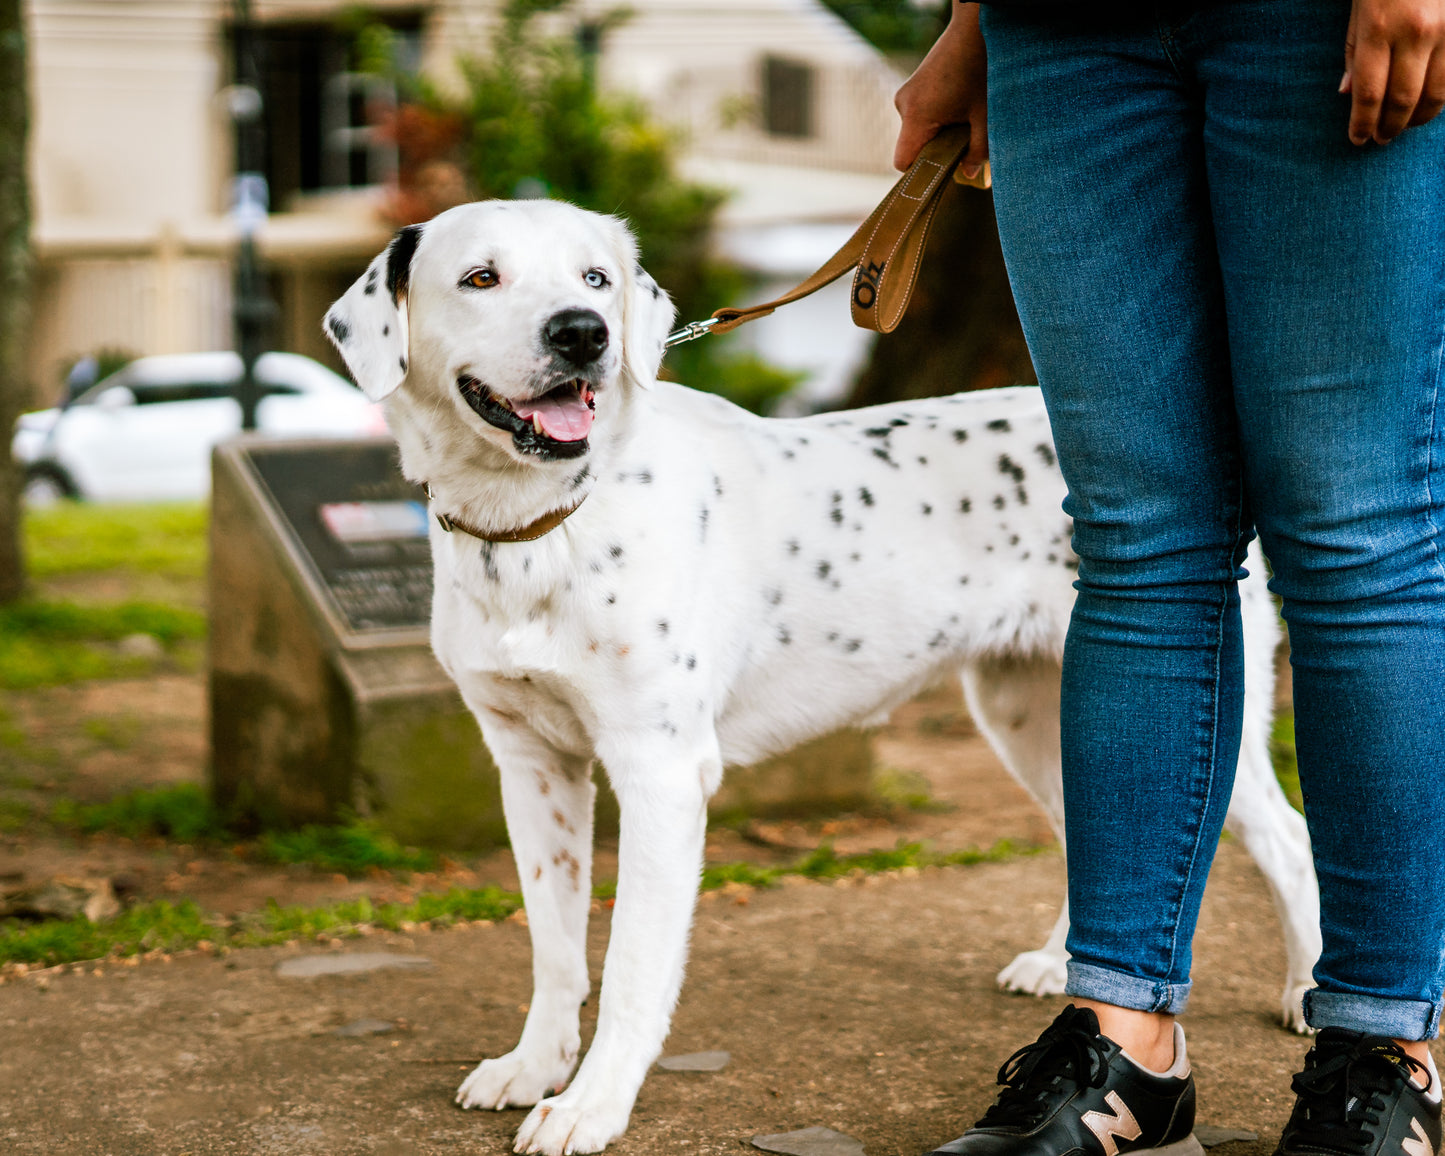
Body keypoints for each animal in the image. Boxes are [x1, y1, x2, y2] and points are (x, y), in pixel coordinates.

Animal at [328, 200, 1323, 1156]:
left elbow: (630, 968)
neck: (543, 525)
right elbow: (556, 950)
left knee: (1286, 838)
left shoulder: (659, 772)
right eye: (480, 277)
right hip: (1034, 712)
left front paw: (591, 1106)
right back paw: (1058, 969)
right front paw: (535, 1066)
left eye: (596, 277)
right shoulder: (532, 767)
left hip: (1203, 720)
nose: (583, 334)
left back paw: (1304, 990)